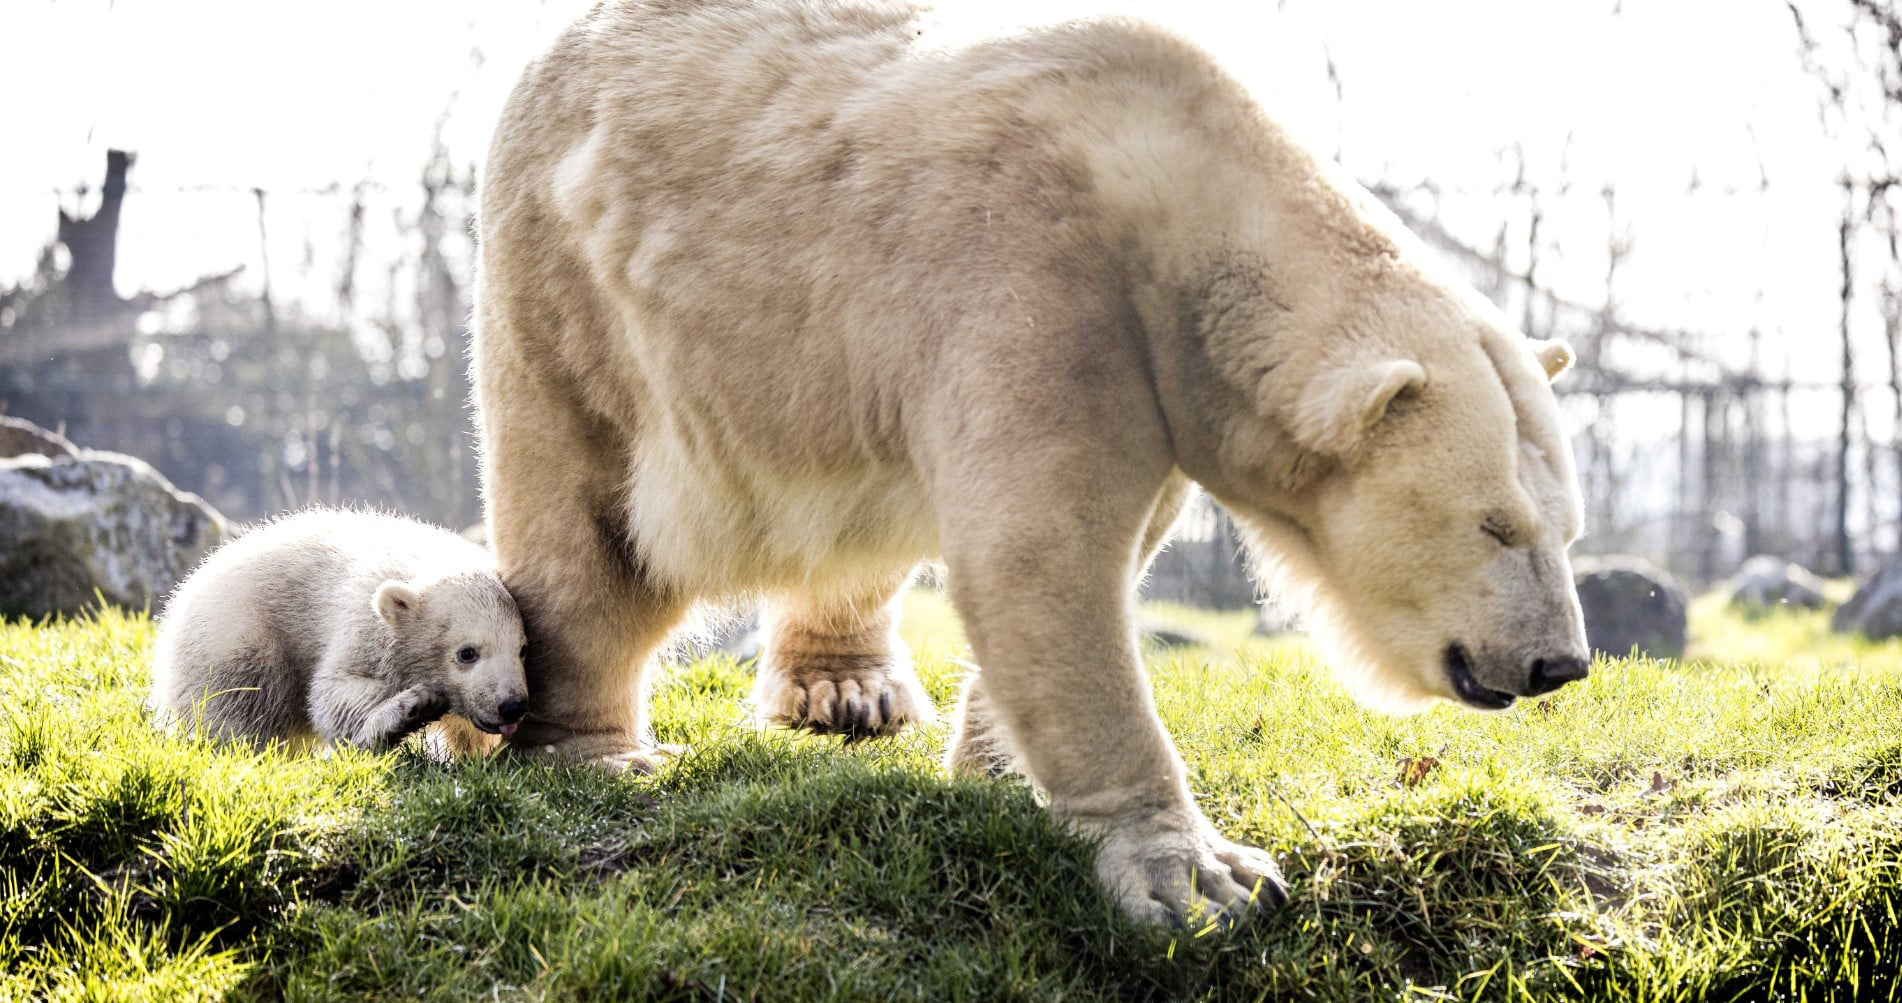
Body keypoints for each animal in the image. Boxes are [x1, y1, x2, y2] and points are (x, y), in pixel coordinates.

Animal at [475, 0, 1590, 924]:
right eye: (1496, 522)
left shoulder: (1158, 374)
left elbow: (1103, 554)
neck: (1178, 196)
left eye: (1568, 528)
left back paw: (850, 692)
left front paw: (999, 767)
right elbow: (1044, 551)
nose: (1560, 664)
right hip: (572, 287)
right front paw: (1207, 877)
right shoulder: (1036, 274)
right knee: (585, 521)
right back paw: (596, 753)